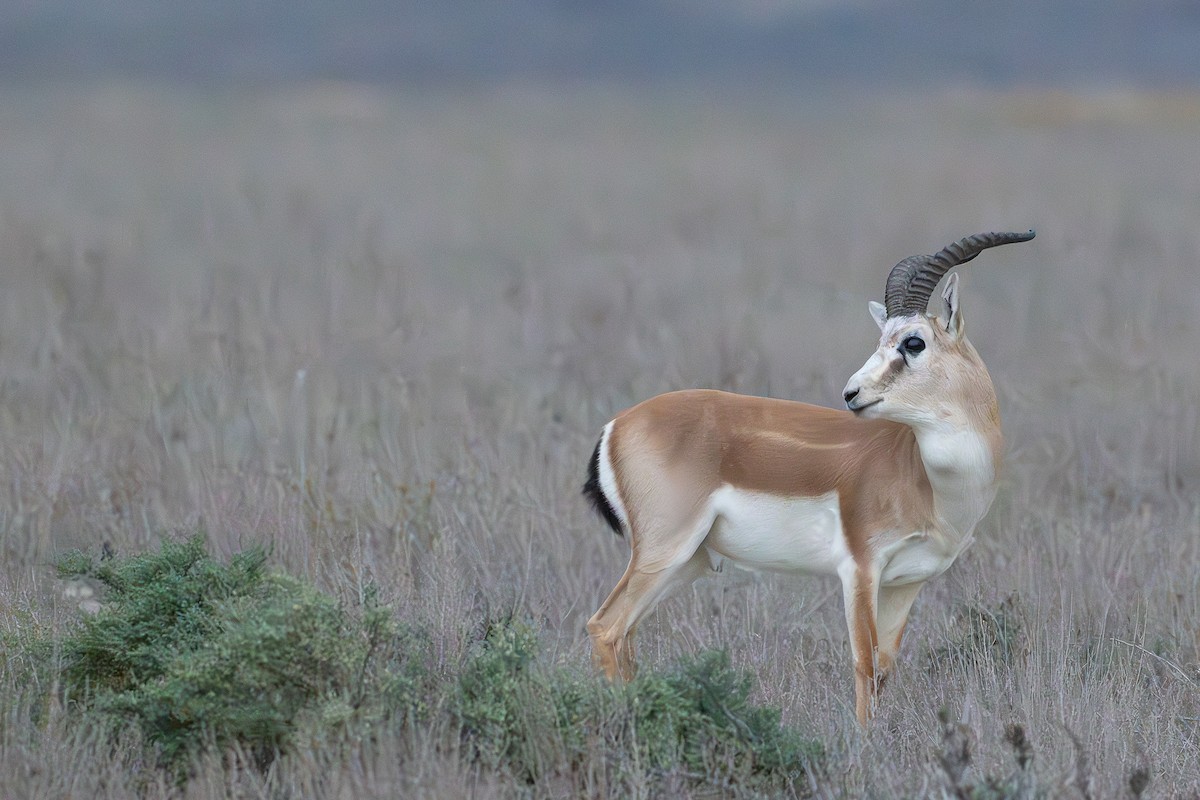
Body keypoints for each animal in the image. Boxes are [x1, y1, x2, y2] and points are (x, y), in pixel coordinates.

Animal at [581, 230, 1035, 725]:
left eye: (913, 342)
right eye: (884, 338)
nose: (851, 394)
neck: (929, 484)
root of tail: (617, 425)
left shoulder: (907, 583)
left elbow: (885, 670)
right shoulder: (859, 568)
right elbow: (864, 663)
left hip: (687, 563)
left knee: (626, 636)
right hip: (664, 552)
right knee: (605, 627)